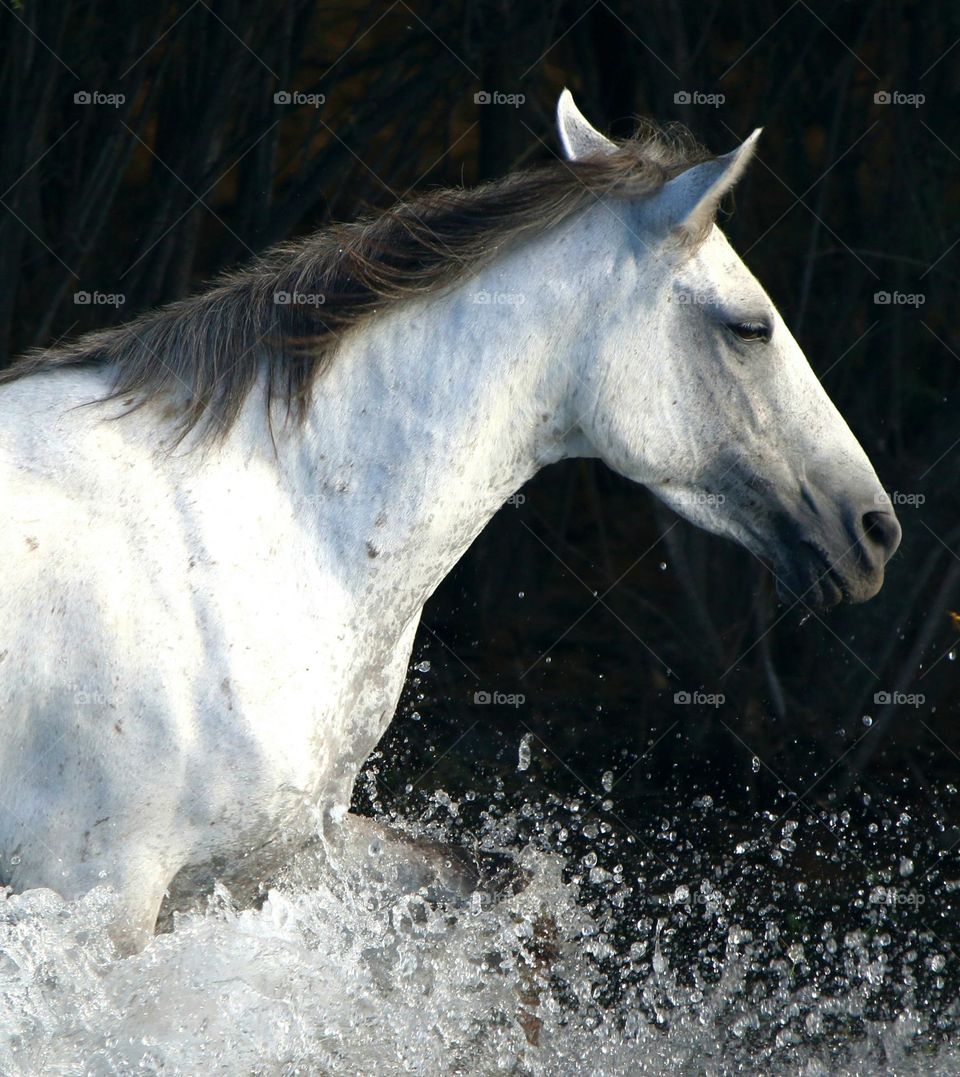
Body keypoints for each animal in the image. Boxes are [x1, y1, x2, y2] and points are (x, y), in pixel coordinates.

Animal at [0, 91, 900, 951]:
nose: (875, 527)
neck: (269, 531)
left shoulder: (281, 852)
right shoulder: (99, 892)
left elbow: (508, 885)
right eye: (749, 327)